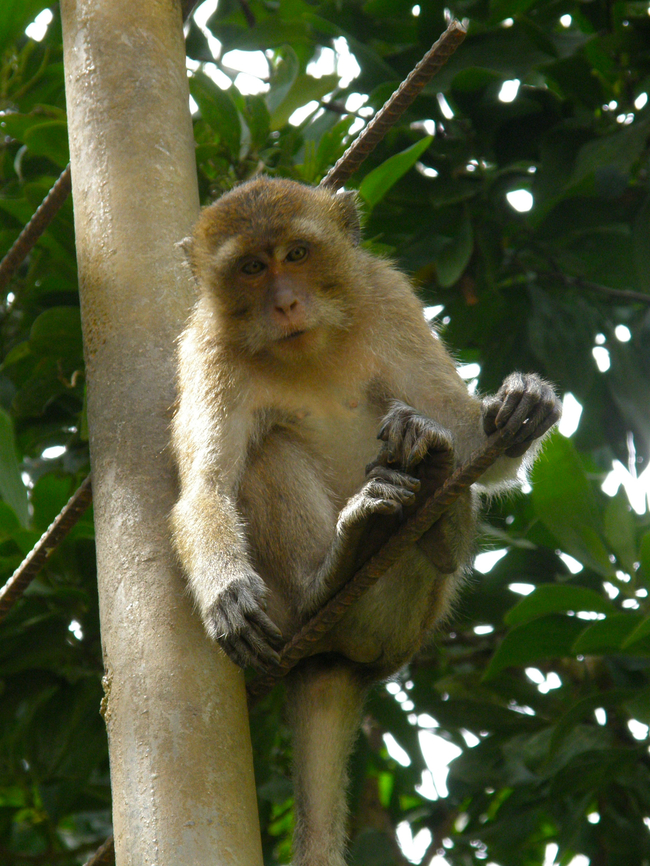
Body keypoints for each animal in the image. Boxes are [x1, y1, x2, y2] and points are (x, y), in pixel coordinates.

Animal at [170, 176, 561, 866]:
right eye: (251, 269)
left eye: (297, 254)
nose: (287, 303)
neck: (310, 348)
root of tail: (341, 660)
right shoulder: (207, 351)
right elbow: (206, 491)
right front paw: (226, 593)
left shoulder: (389, 297)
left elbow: (465, 431)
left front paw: (520, 404)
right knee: (267, 452)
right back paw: (335, 568)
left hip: (408, 620)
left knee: (432, 457)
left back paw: (435, 498)